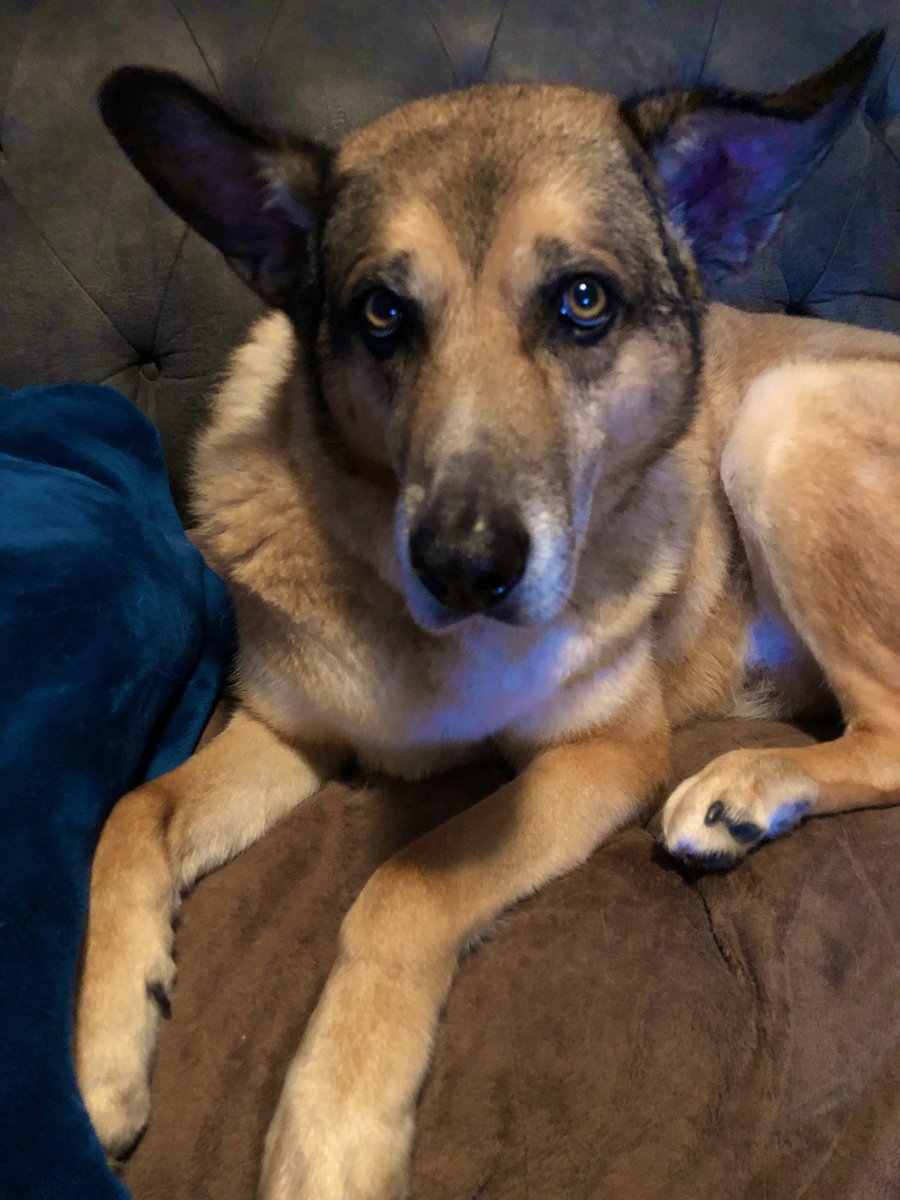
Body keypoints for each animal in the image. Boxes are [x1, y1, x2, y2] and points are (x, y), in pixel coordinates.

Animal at [75, 31, 900, 1200]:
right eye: (382, 312)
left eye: (585, 301)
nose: (465, 566)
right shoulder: (285, 730)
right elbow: (132, 811)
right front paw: (101, 1053)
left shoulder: (604, 756)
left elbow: (403, 885)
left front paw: (334, 1127)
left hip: (784, 420)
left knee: (891, 731)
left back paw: (746, 787)